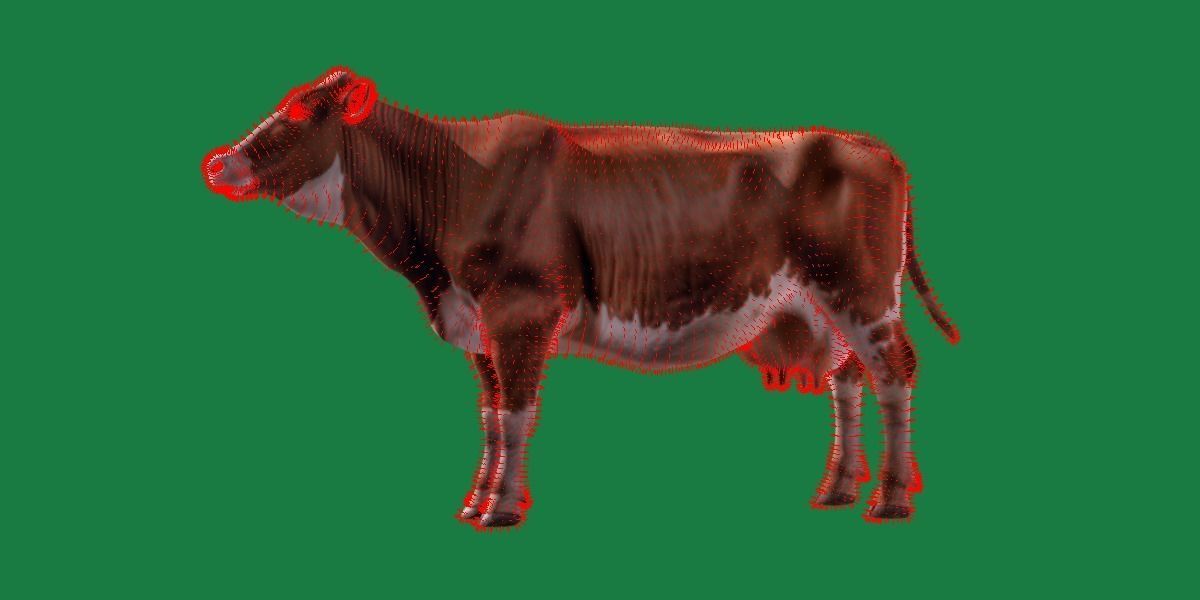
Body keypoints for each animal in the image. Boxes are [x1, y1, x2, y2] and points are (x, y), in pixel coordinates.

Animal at [202, 67, 958, 528]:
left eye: (302, 112)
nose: (218, 162)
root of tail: (864, 143)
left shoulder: (522, 310)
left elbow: (517, 416)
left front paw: (502, 508)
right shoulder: (477, 324)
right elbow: (490, 414)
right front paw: (478, 499)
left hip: (860, 291)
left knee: (896, 373)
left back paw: (889, 498)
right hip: (828, 307)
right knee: (847, 380)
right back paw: (837, 488)